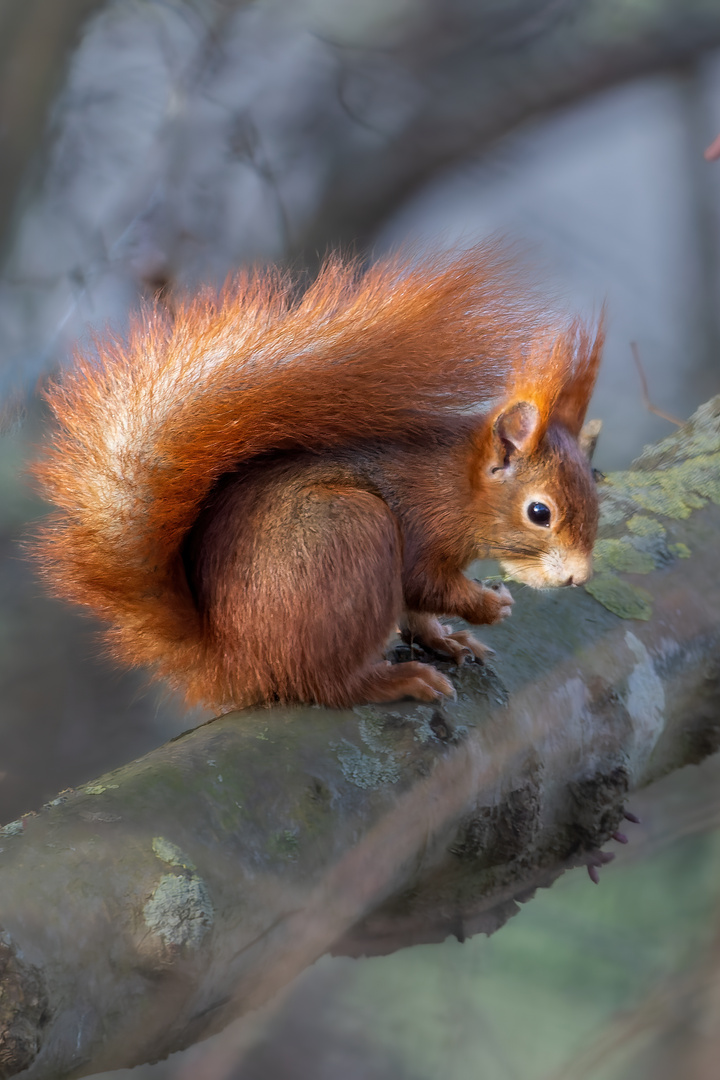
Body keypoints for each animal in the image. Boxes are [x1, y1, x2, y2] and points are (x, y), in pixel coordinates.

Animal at [33, 247, 604, 712]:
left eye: (597, 485)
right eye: (539, 512)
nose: (579, 578)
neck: (454, 483)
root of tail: (234, 661)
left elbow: (418, 611)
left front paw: (449, 638)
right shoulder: (421, 523)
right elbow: (423, 584)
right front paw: (489, 605)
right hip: (350, 532)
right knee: (327, 685)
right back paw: (393, 681)